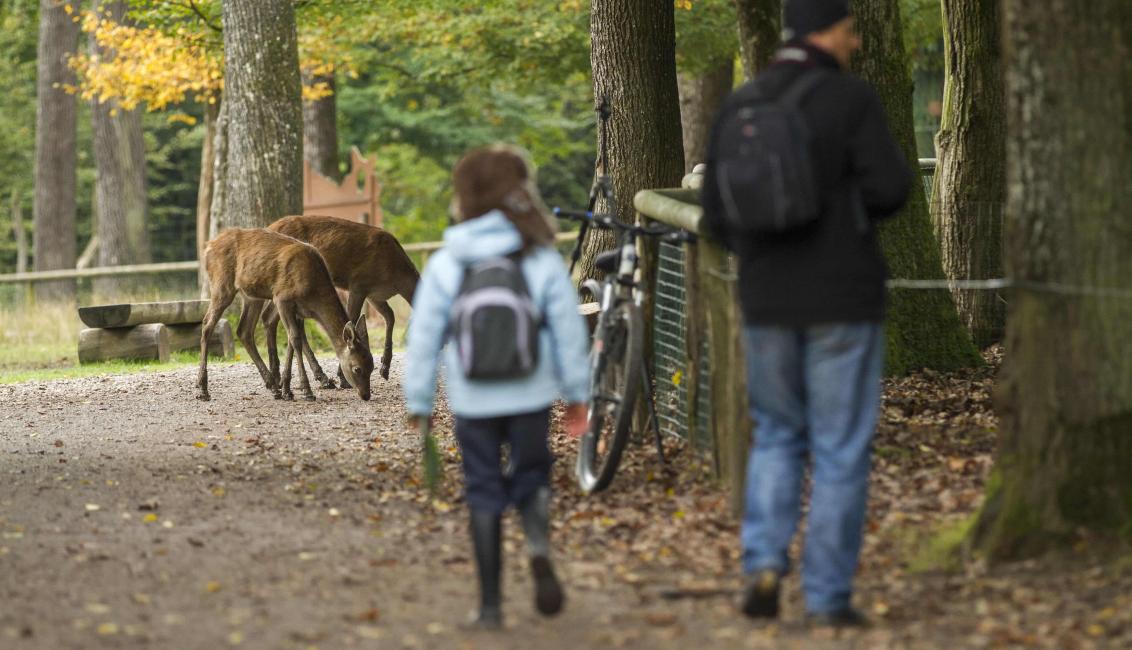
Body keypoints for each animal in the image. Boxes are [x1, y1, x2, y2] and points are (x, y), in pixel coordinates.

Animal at [194, 228, 371, 403]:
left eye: (372, 366)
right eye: (357, 368)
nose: (366, 395)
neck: (313, 294)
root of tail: (208, 247)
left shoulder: (298, 311)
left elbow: (292, 341)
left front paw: (287, 390)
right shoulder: (282, 298)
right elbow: (295, 339)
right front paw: (306, 391)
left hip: (252, 296)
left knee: (244, 330)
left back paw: (273, 386)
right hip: (221, 284)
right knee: (207, 324)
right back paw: (203, 389)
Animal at [252, 216, 421, 391]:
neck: (396, 277)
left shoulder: (375, 295)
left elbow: (390, 316)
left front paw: (384, 368)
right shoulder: (359, 284)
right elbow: (352, 319)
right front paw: (344, 377)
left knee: (279, 322)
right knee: (277, 321)